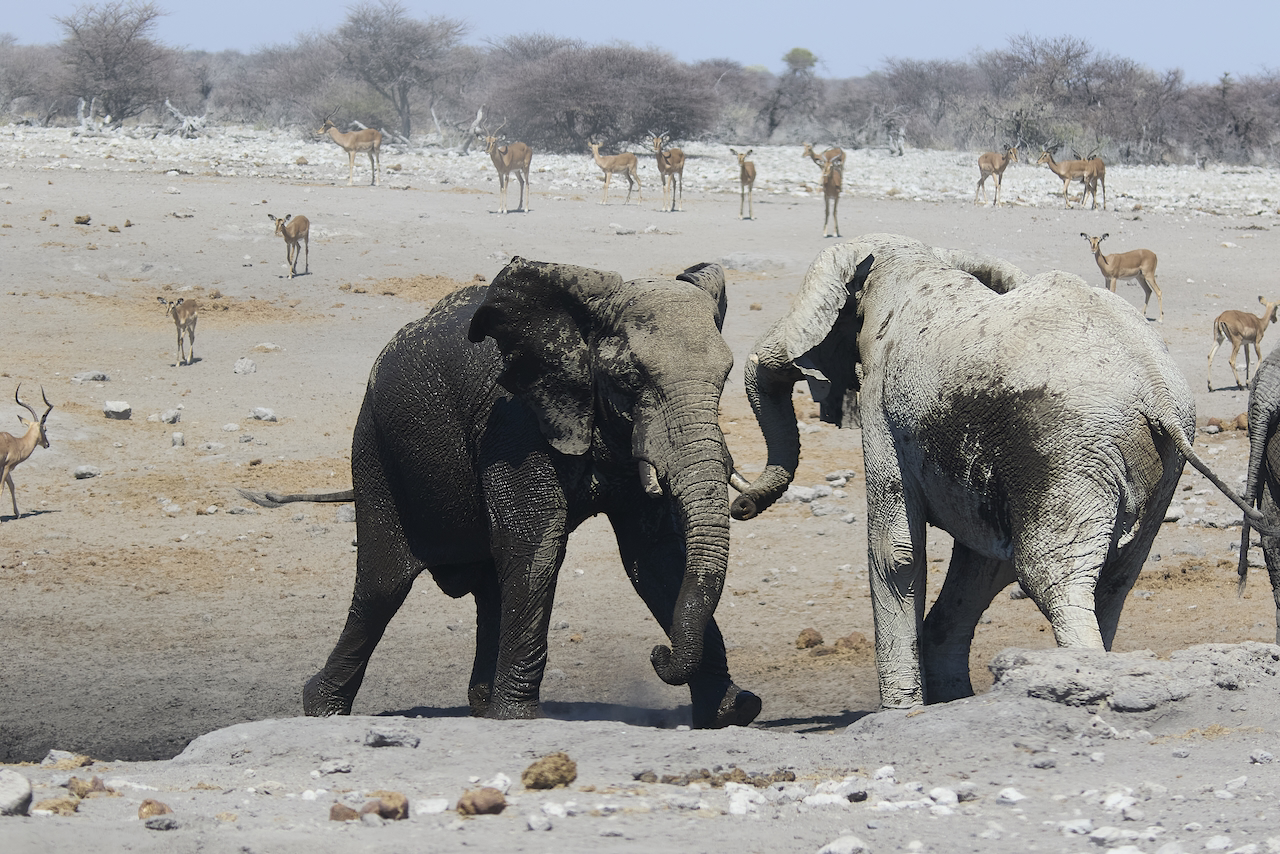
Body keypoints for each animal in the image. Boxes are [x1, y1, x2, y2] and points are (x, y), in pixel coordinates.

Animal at [302, 256, 761, 729]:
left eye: (725, 377)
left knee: (487, 590)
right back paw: (321, 708)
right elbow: (535, 542)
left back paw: (483, 711)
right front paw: (519, 719)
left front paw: (731, 712)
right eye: (630, 377)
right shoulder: (513, 425)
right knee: (382, 588)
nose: (658, 653)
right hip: (374, 450)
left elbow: (656, 555)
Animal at [732, 233, 1275, 709]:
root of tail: (1156, 392)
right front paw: (950, 700)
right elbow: (982, 560)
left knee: (1051, 577)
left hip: (1068, 450)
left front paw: (901, 713)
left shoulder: (883, 405)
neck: (916, 258)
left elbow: (897, 554)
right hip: (1154, 464)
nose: (740, 503)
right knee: (1115, 581)